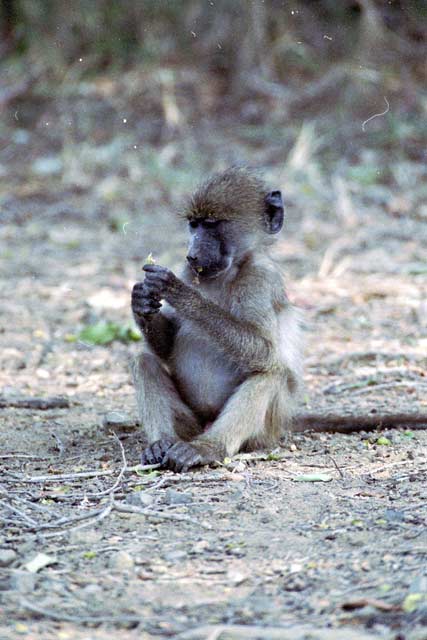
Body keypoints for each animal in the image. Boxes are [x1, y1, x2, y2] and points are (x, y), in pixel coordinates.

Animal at [131, 167, 303, 472]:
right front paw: (141, 299)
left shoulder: (260, 279)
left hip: (264, 431)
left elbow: (264, 351)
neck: (226, 272)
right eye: (194, 225)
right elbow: (165, 347)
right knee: (144, 361)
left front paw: (178, 291)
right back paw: (161, 443)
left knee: (269, 374)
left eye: (211, 224)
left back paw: (207, 449)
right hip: (190, 423)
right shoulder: (188, 270)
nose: (192, 254)